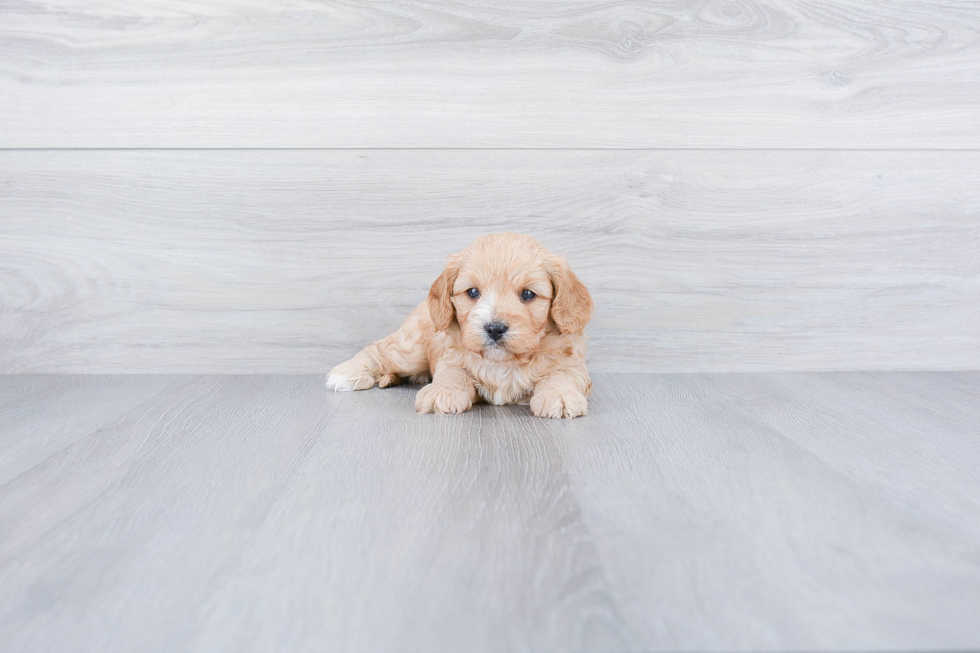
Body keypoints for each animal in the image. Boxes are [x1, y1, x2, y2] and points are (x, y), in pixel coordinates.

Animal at [326, 233, 592, 418]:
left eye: (527, 294)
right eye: (473, 292)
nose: (494, 328)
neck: (504, 362)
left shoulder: (572, 364)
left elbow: (562, 377)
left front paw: (559, 396)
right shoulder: (450, 356)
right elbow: (453, 374)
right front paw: (443, 391)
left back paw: (389, 379)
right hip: (411, 349)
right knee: (378, 350)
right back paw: (347, 374)